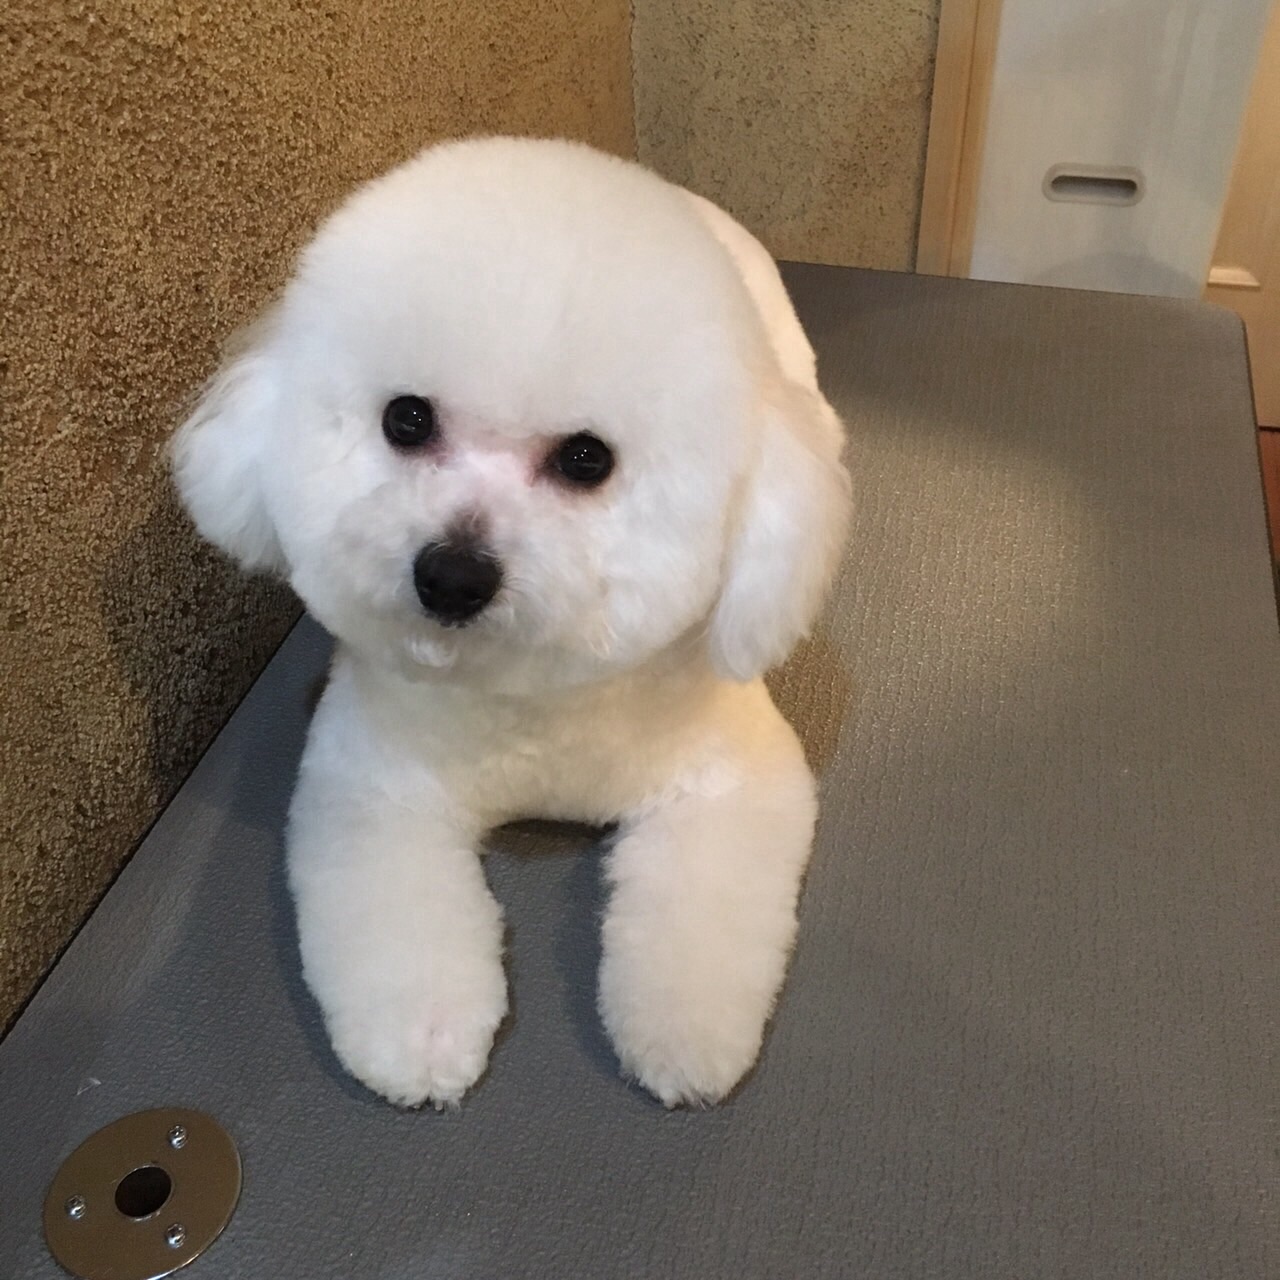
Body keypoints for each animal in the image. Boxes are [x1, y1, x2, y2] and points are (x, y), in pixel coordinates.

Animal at [172, 136, 851, 1108]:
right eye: (406, 418)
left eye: (587, 459)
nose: (451, 576)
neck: (531, 707)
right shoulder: (370, 785)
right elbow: (395, 917)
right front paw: (421, 1035)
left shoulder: (734, 780)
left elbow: (698, 922)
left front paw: (683, 1034)